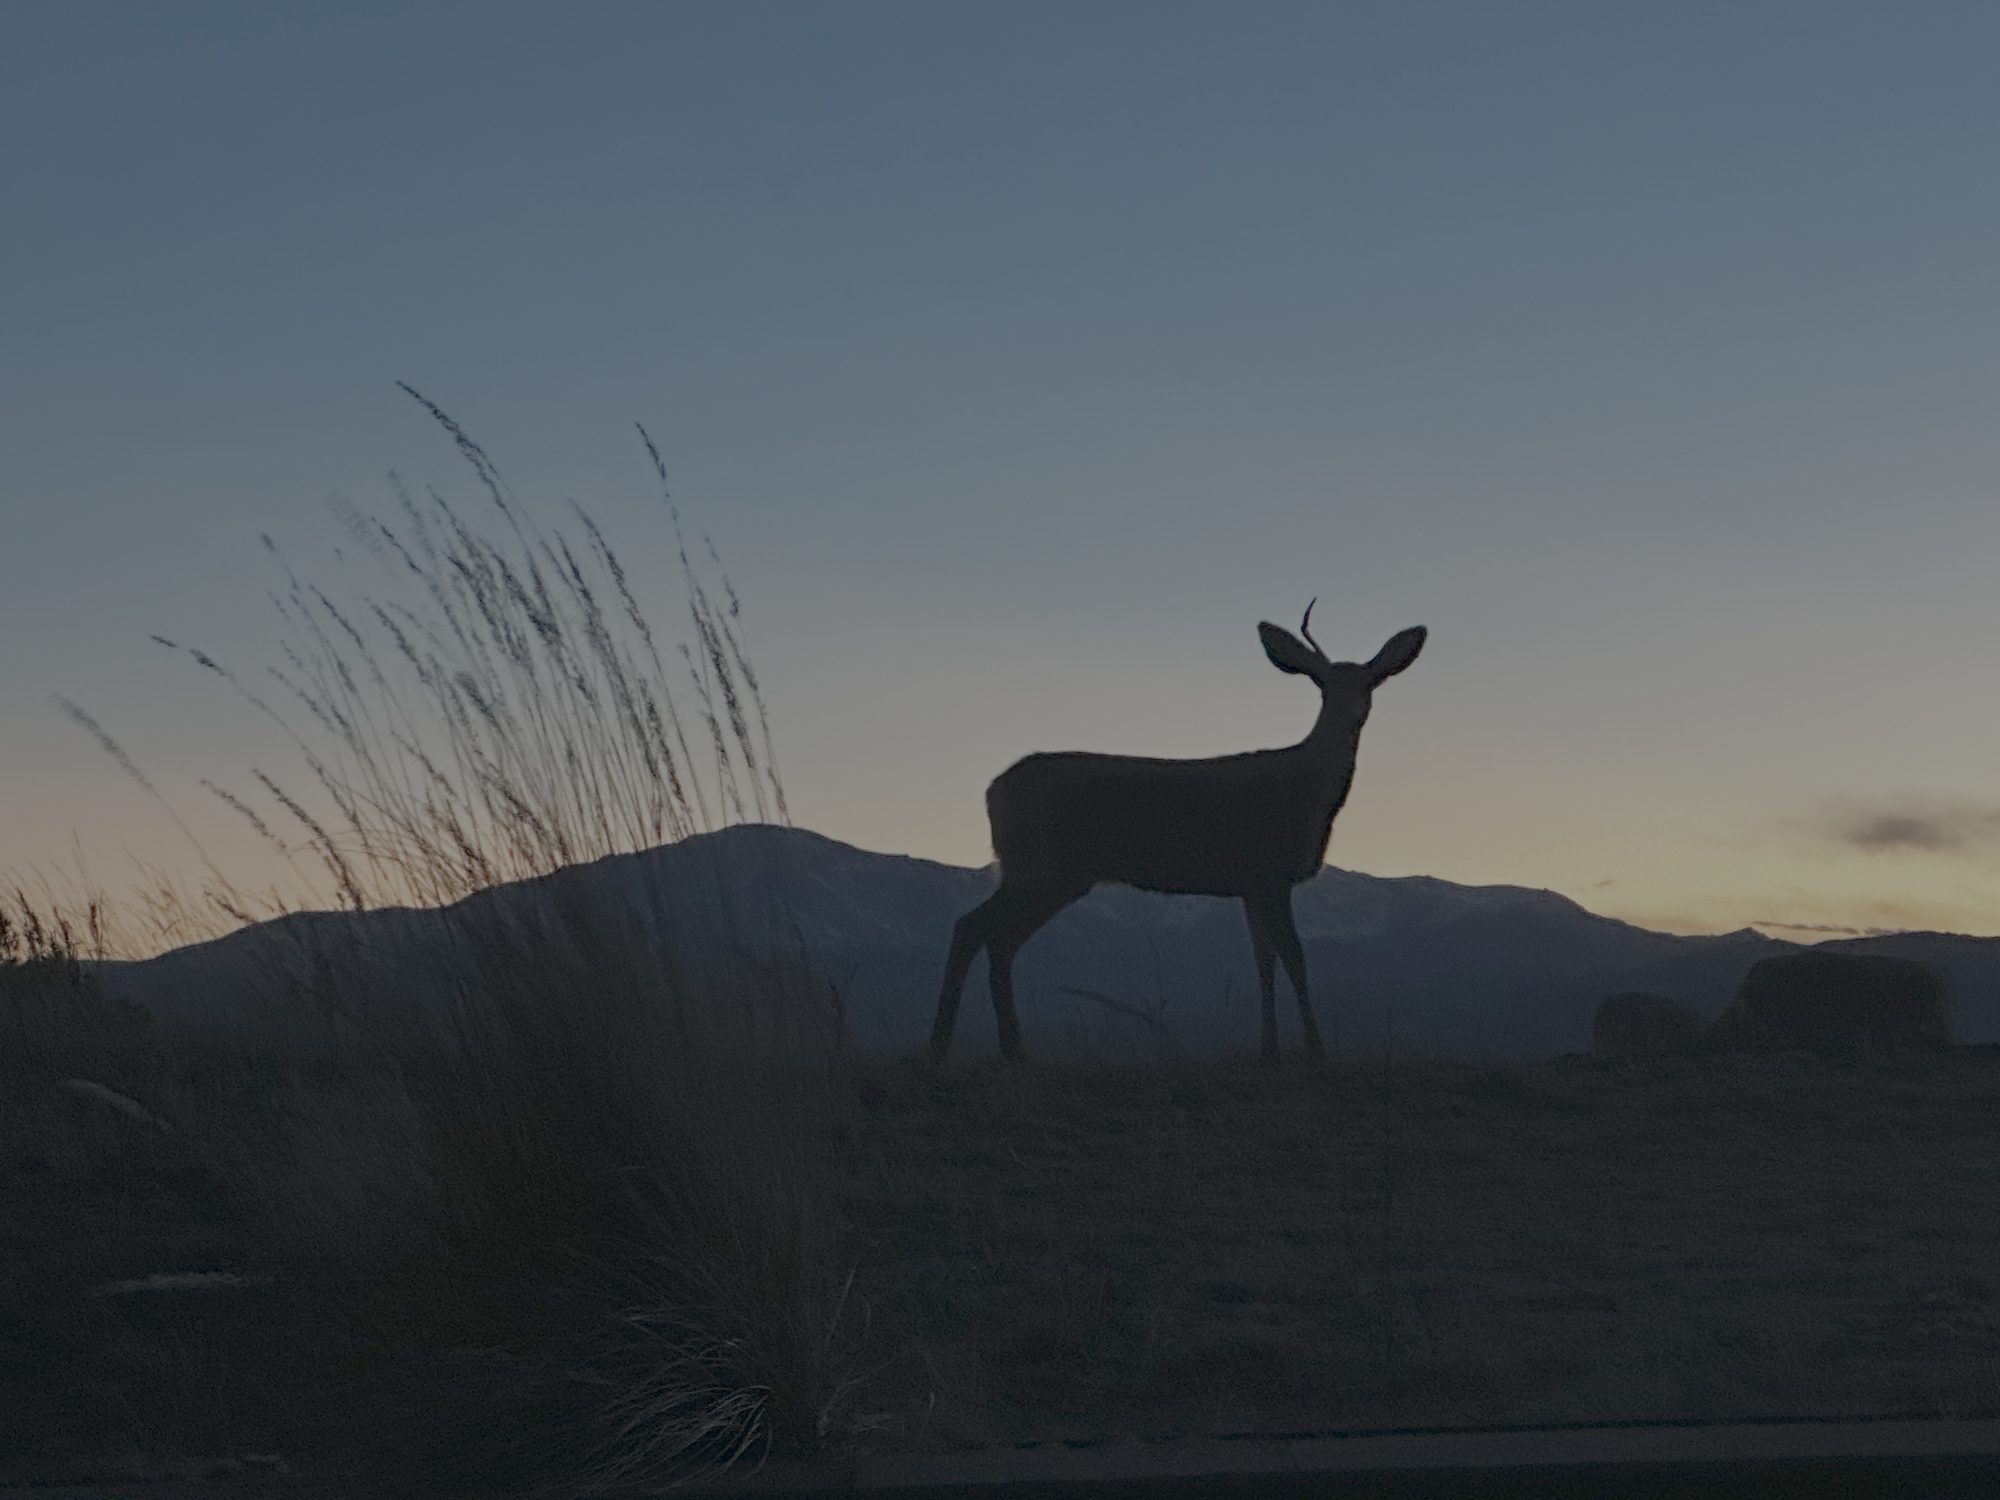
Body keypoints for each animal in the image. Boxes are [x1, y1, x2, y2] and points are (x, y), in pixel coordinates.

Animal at [930, 604, 1427, 1066]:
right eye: (1322, 684)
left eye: (1370, 684)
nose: (1352, 715)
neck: (1308, 791)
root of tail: (992, 790)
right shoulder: (1270, 872)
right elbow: (1295, 958)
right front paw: (1316, 1050)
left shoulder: (1252, 885)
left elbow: (1263, 961)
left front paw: (1269, 1049)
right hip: (1040, 867)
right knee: (972, 927)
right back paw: (943, 1046)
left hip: (1049, 875)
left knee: (998, 939)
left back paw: (1010, 1050)